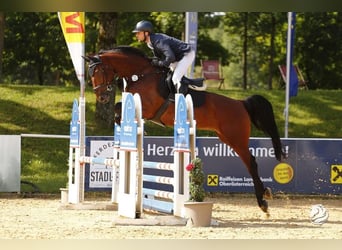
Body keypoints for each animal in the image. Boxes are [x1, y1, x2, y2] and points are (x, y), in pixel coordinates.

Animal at [85, 45, 286, 215]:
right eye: (90, 74)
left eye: (99, 71)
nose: (101, 97)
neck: (141, 74)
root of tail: (241, 103)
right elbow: (119, 108)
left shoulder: (148, 107)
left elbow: (119, 107)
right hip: (226, 138)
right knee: (250, 161)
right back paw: (264, 196)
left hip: (236, 139)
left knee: (251, 163)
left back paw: (263, 202)